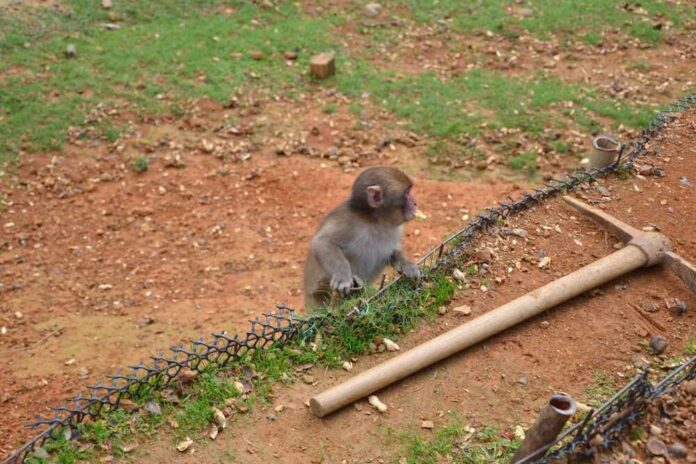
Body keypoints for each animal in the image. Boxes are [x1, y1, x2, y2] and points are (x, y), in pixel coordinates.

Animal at [303, 166, 421, 310]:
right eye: (407, 192)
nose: (415, 203)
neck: (376, 221)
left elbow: (394, 252)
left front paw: (407, 265)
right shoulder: (350, 221)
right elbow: (323, 242)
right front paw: (343, 276)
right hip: (316, 296)